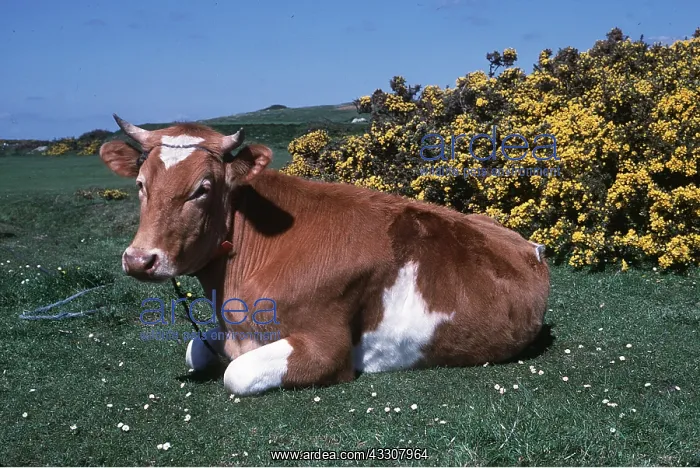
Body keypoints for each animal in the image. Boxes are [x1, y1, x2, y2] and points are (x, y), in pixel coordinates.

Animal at [99, 114, 550, 397]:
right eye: (140, 184)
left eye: (202, 188)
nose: (140, 260)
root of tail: (529, 244)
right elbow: (194, 348)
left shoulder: (327, 347)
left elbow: (236, 373)